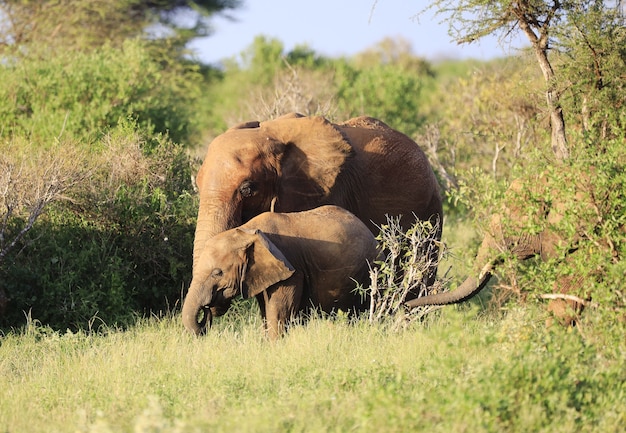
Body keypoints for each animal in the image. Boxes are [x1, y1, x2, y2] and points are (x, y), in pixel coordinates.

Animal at [180, 204, 376, 340]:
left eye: (217, 272)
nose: (207, 309)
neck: (246, 231)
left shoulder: (292, 269)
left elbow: (280, 313)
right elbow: (266, 312)